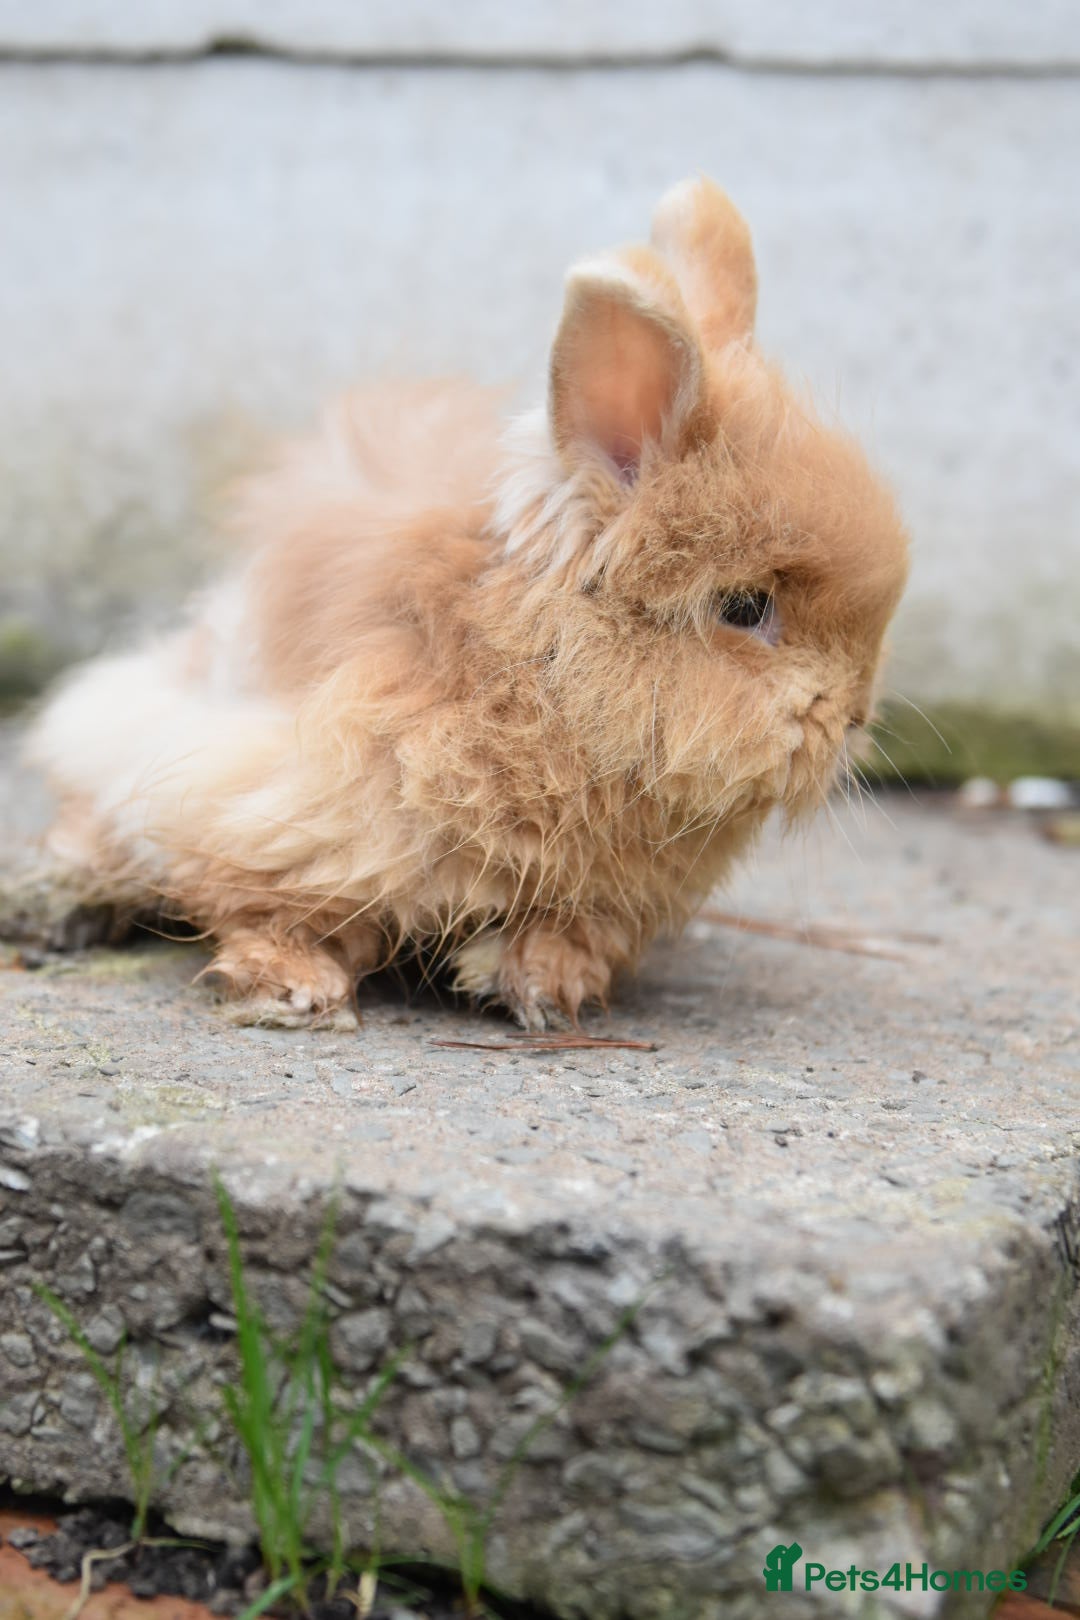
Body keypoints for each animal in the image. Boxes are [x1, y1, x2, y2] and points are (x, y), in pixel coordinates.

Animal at [27, 177, 909, 1030]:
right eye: (745, 608)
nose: (855, 717)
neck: (533, 682)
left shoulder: (597, 900)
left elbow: (565, 936)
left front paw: (542, 993)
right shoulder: (279, 798)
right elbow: (270, 907)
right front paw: (293, 993)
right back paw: (50, 906)